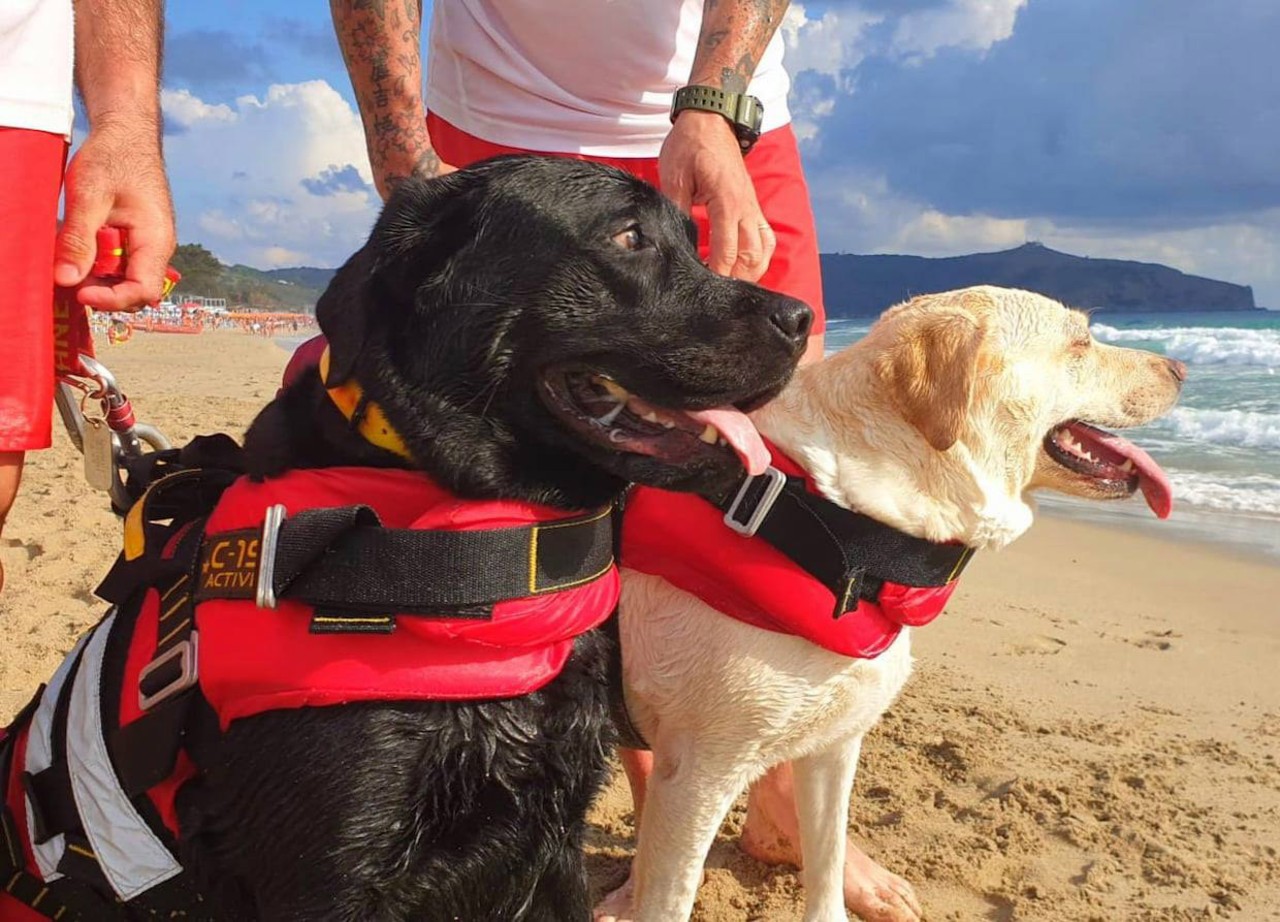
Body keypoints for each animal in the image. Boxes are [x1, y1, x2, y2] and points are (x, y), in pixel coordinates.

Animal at [604, 288, 1182, 922]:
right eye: (1079, 343)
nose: (1180, 369)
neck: (836, 523)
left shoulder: (833, 745)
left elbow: (827, 864)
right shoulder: (698, 774)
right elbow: (671, 899)